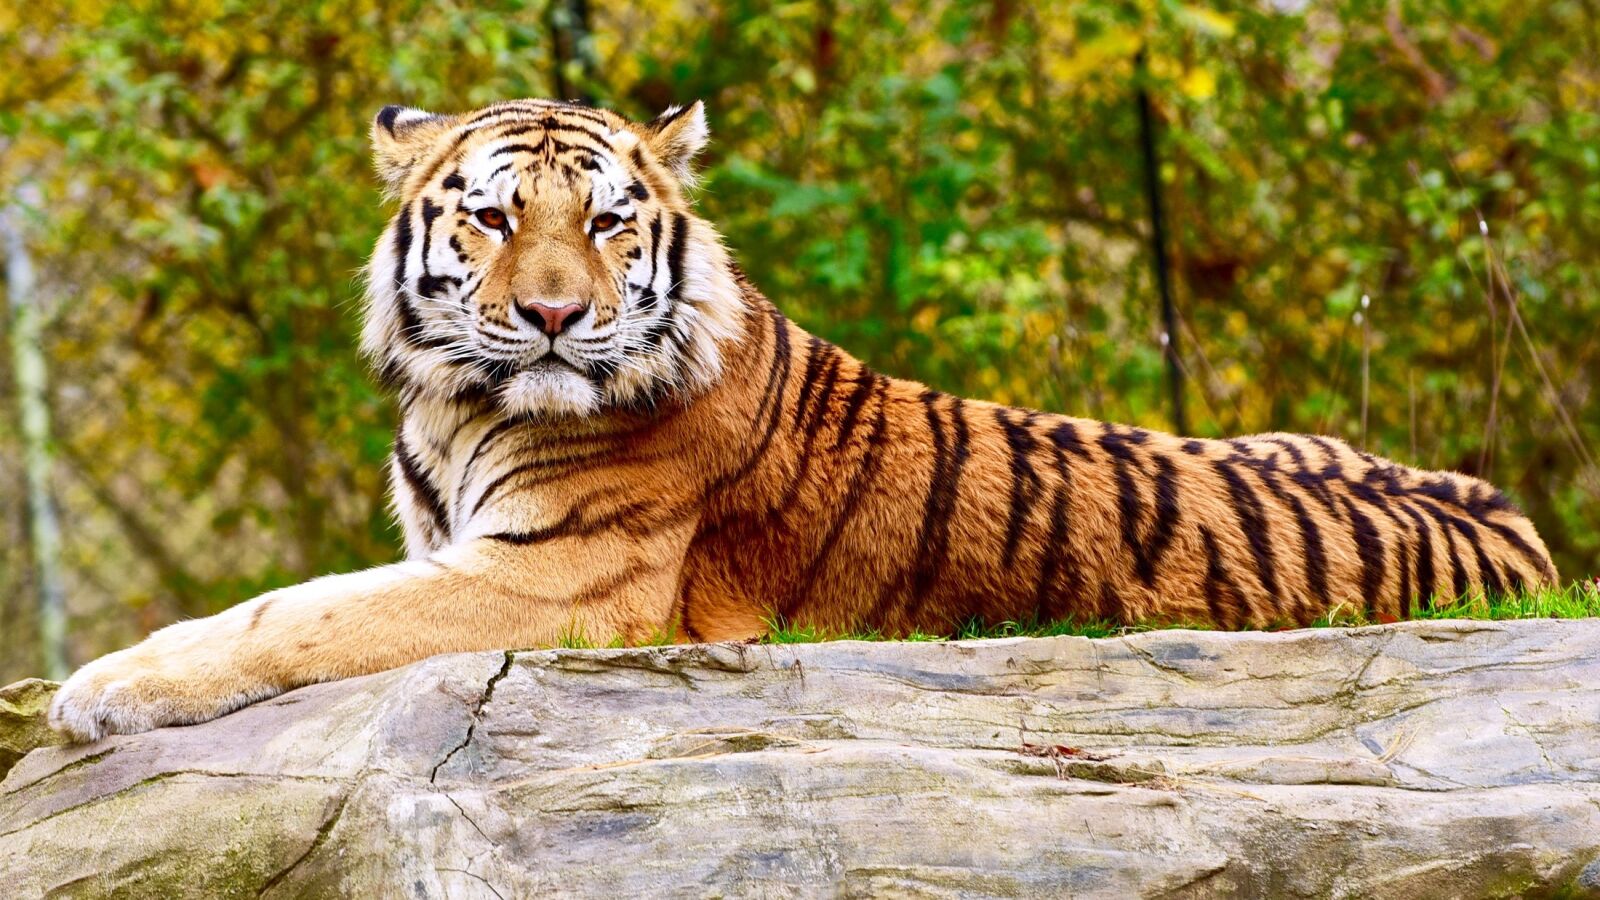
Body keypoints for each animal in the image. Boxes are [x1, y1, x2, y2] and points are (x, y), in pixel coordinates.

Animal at [50, 98, 1559, 742]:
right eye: (492, 216)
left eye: (607, 222)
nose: (553, 317)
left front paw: (101, 687)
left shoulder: (555, 583)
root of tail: (1517, 524)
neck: (458, 405)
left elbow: (293, 613)